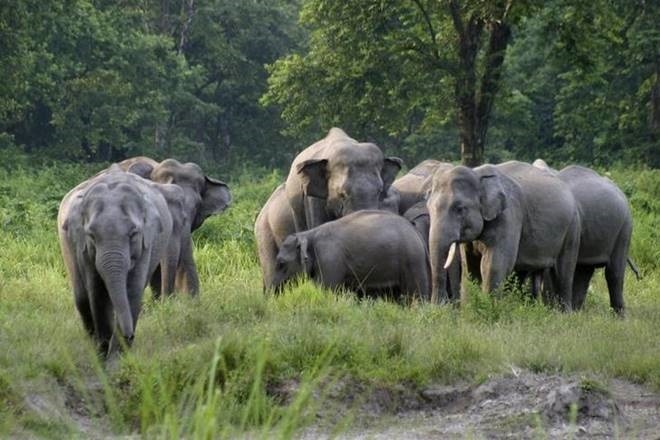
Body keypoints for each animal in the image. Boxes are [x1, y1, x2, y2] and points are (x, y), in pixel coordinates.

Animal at [58, 166, 185, 357]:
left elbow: (132, 289)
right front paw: (104, 354)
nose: (130, 335)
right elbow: (97, 292)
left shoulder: (146, 243)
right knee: (81, 297)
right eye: (91, 236)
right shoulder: (83, 248)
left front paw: (118, 356)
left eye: (133, 234)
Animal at [271, 210, 430, 301]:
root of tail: (416, 232)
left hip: (413, 260)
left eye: (281, 263)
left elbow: (326, 289)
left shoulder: (329, 258)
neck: (308, 233)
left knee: (416, 294)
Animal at [426, 161, 581, 309]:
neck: (477, 174)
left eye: (459, 209)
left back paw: (563, 313)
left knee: (563, 272)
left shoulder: (508, 216)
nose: (439, 307)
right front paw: (470, 309)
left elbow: (493, 265)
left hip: (572, 228)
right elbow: (469, 267)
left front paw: (489, 309)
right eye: (429, 208)